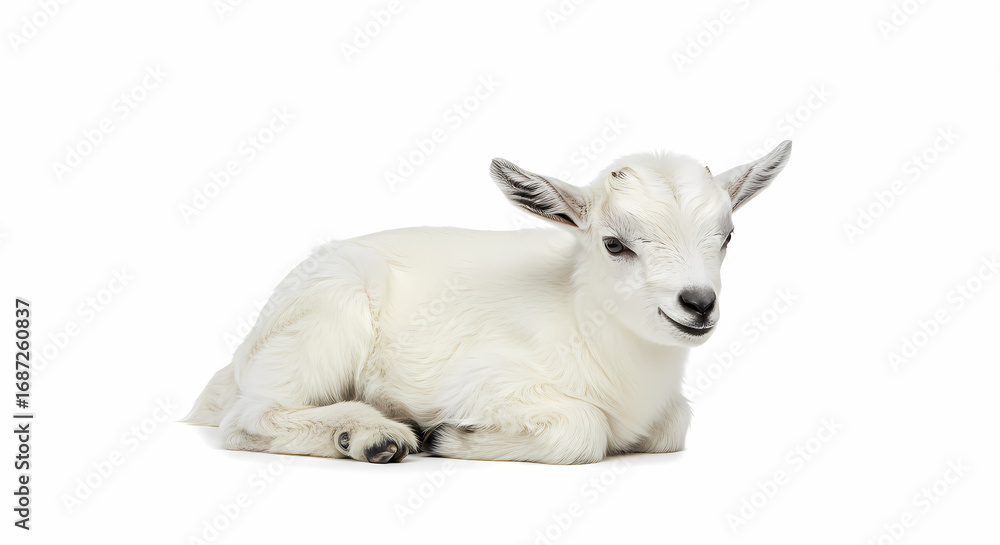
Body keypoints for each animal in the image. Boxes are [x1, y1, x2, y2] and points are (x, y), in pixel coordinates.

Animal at [184, 141, 792, 464]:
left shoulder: (667, 416)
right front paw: (450, 435)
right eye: (614, 243)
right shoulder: (486, 379)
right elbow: (583, 428)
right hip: (330, 310)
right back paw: (374, 436)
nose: (698, 303)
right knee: (249, 418)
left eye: (728, 237)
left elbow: (675, 425)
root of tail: (235, 361)